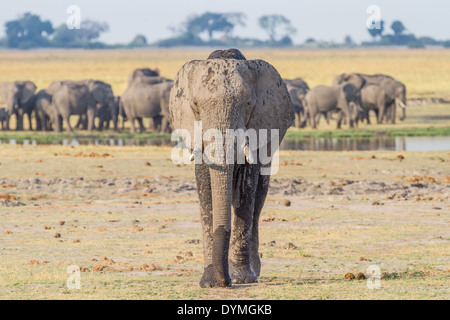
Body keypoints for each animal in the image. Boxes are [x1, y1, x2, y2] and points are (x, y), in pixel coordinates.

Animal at [169, 48, 296, 288]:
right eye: (195, 106)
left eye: (248, 105)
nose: (225, 282)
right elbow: (206, 192)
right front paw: (209, 282)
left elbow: (246, 194)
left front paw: (242, 278)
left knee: (258, 200)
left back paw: (254, 270)